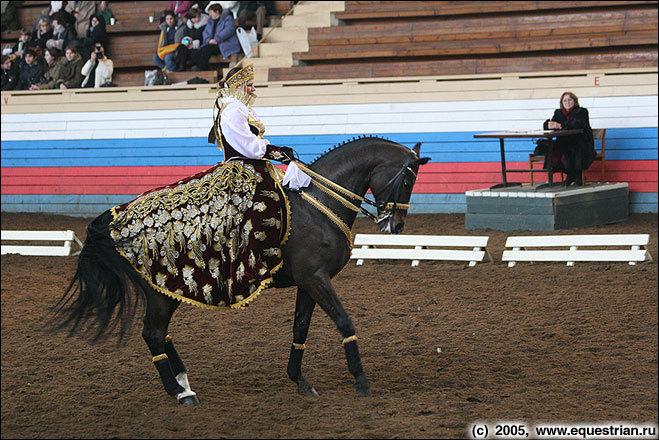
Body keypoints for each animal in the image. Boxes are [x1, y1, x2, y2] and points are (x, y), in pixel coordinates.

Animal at [54, 136, 430, 404]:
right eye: (407, 181)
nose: (395, 225)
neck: (317, 205)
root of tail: (115, 221)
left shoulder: (308, 282)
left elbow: (300, 329)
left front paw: (300, 381)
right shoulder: (316, 278)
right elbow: (344, 321)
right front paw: (361, 382)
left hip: (165, 291)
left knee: (160, 334)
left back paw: (183, 382)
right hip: (163, 292)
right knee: (153, 334)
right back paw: (179, 393)